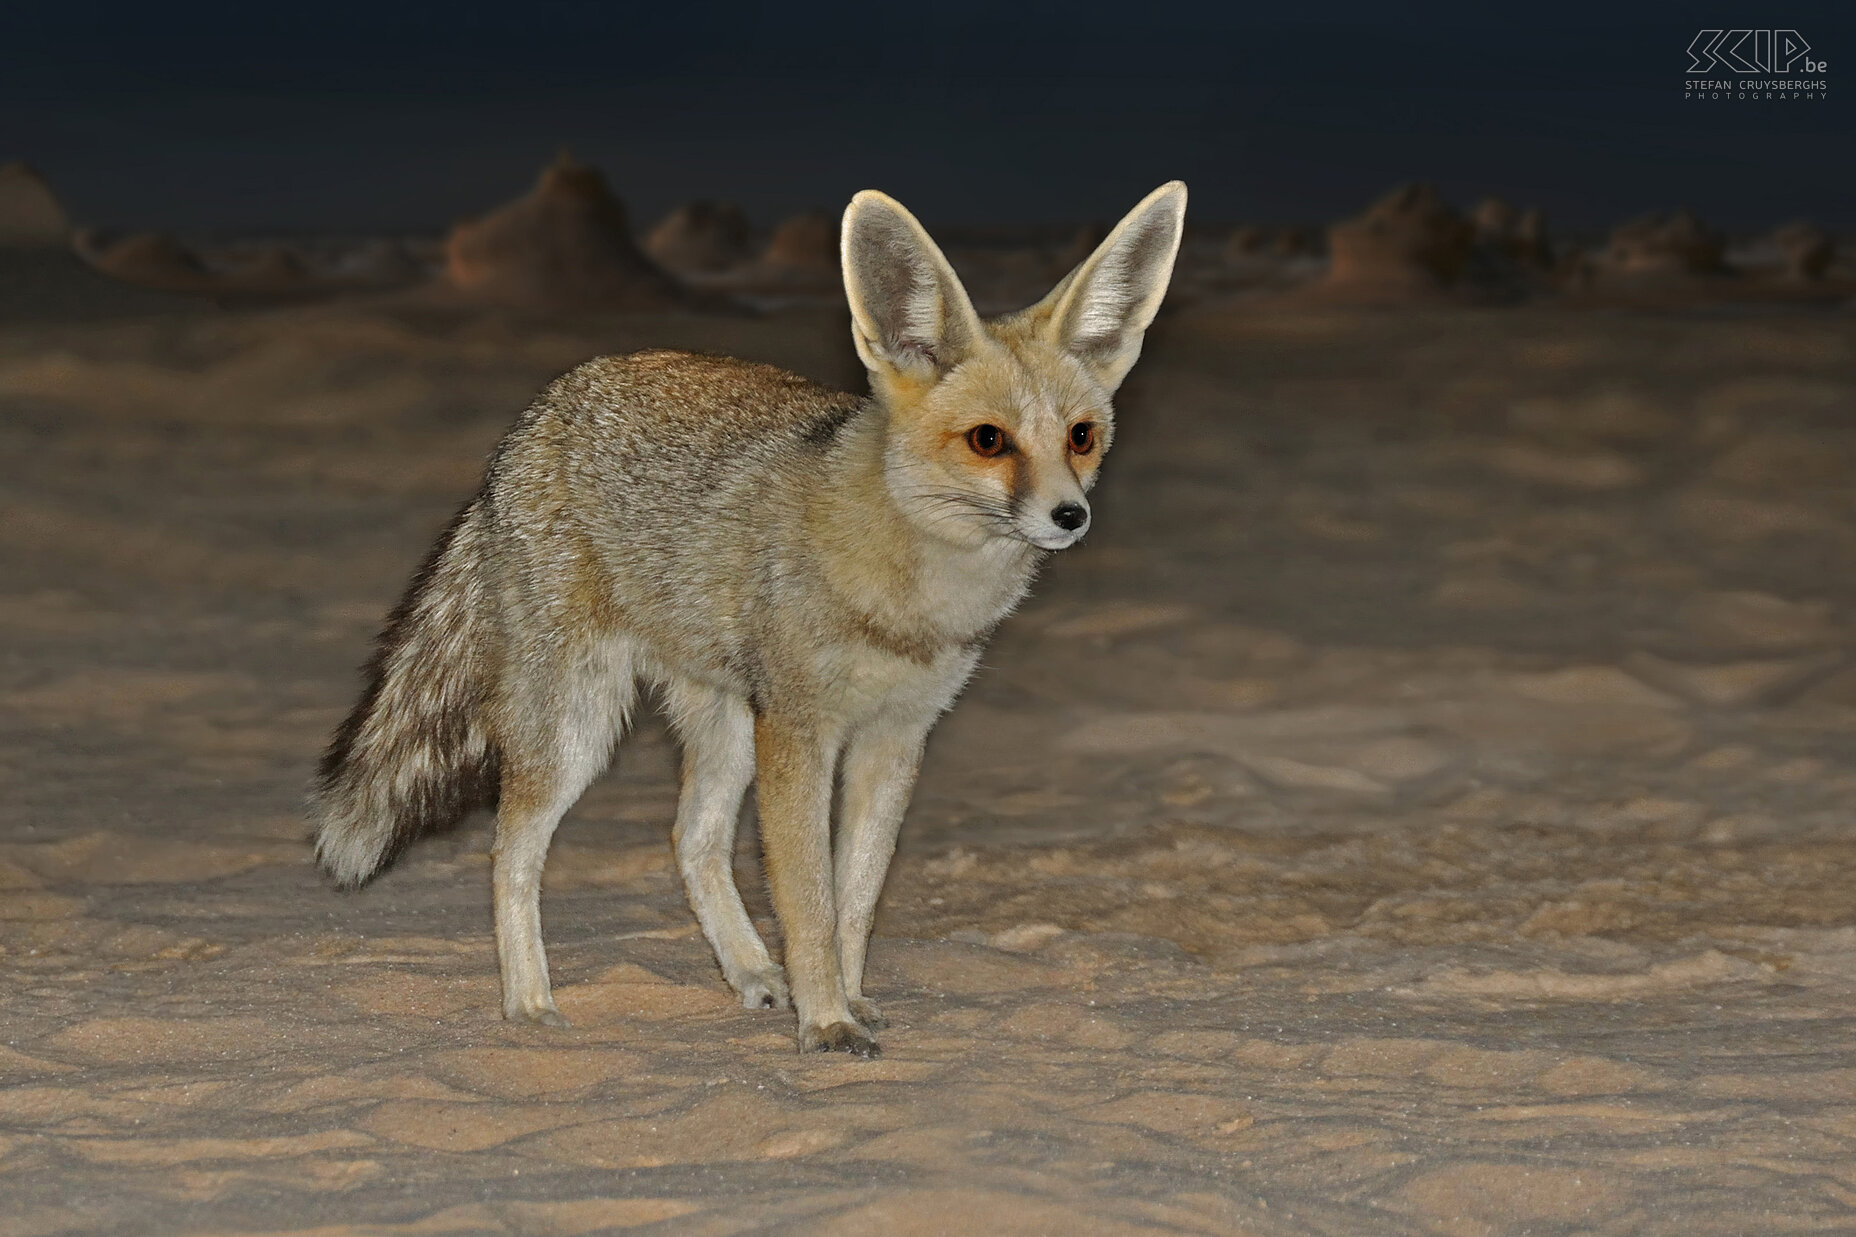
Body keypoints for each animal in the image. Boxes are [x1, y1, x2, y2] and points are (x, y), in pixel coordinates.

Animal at [309, 182, 1180, 1047]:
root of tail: (534, 418)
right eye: (989, 441)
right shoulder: (799, 728)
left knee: (689, 838)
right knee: (509, 850)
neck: (911, 601)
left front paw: (843, 998)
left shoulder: (896, 737)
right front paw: (825, 1021)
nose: (1070, 517)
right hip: (581, 727)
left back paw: (753, 971)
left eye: (1081, 437)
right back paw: (528, 1001)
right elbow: (809, 900)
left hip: (721, 721)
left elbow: (855, 900)